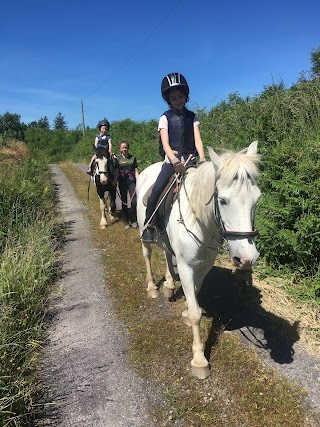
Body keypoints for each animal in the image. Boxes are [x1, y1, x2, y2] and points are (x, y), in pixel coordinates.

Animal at [136, 142, 262, 380]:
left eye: (257, 199)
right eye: (222, 200)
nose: (246, 258)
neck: (200, 222)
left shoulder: (203, 267)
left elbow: (194, 293)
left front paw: (185, 308)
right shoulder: (186, 267)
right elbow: (196, 314)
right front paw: (199, 359)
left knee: (167, 254)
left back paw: (168, 284)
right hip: (143, 232)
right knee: (147, 255)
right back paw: (152, 288)